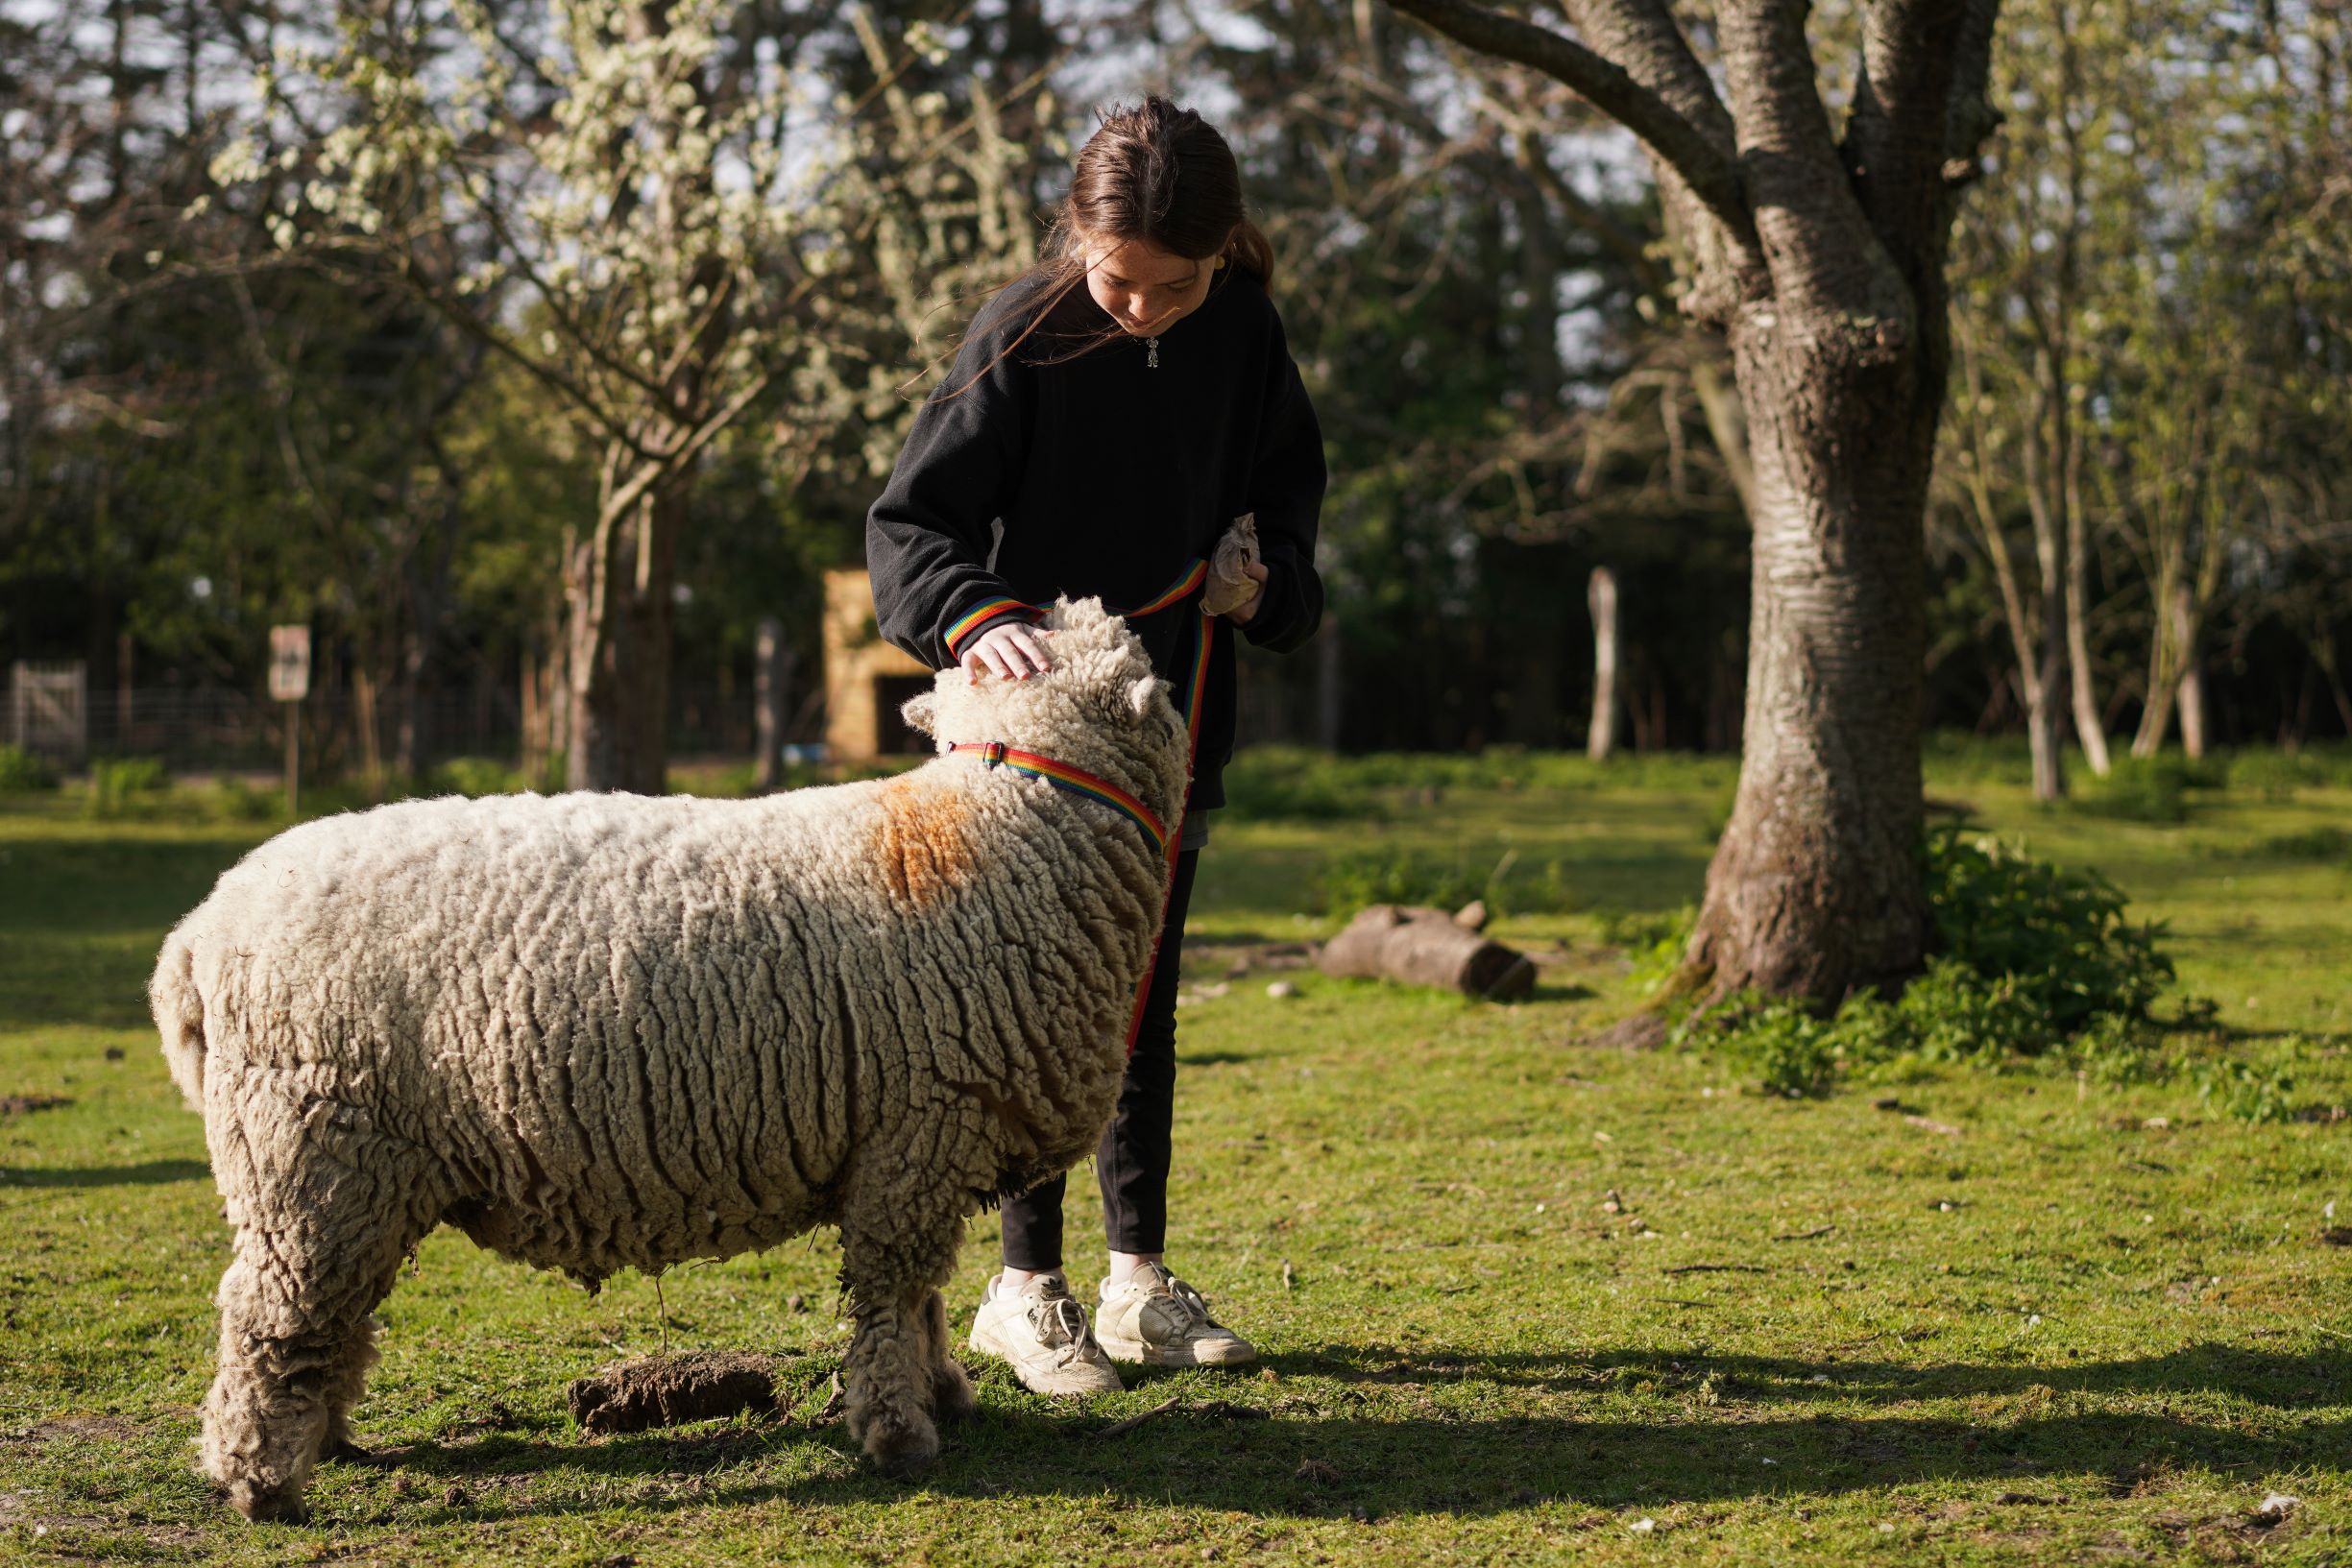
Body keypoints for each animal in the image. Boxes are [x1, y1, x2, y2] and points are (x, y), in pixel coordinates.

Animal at [149, 596, 1189, 1522]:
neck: (1002, 826)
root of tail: (198, 934)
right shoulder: (917, 1136)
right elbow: (895, 1294)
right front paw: (900, 1430)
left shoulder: (912, 1149)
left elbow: (924, 1294)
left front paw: (941, 1393)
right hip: (311, 1156)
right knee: (269, 1317)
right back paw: (259, 1482)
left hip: (353, 1171)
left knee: (330, 1312)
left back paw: (326, 1438)